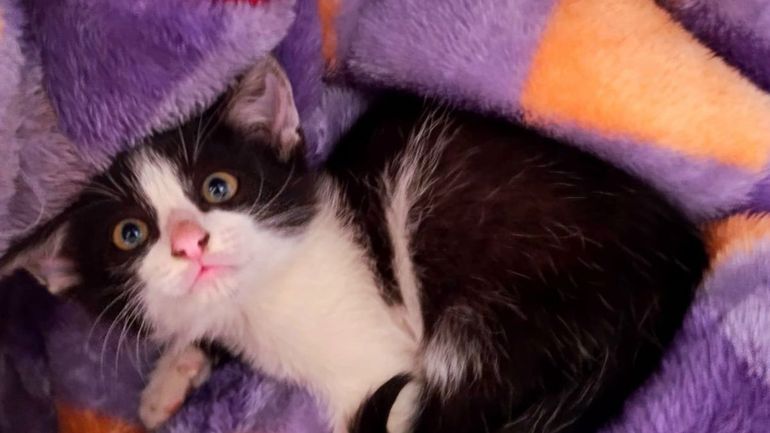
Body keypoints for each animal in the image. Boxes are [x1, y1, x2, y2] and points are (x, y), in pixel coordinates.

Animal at [0, 56, 708, 433]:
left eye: (219, 187)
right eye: (130, 234)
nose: (190, 241)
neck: (263, 313)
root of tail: (674, 273)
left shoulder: (380, 362)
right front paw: (168, 380)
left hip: (503, 298)